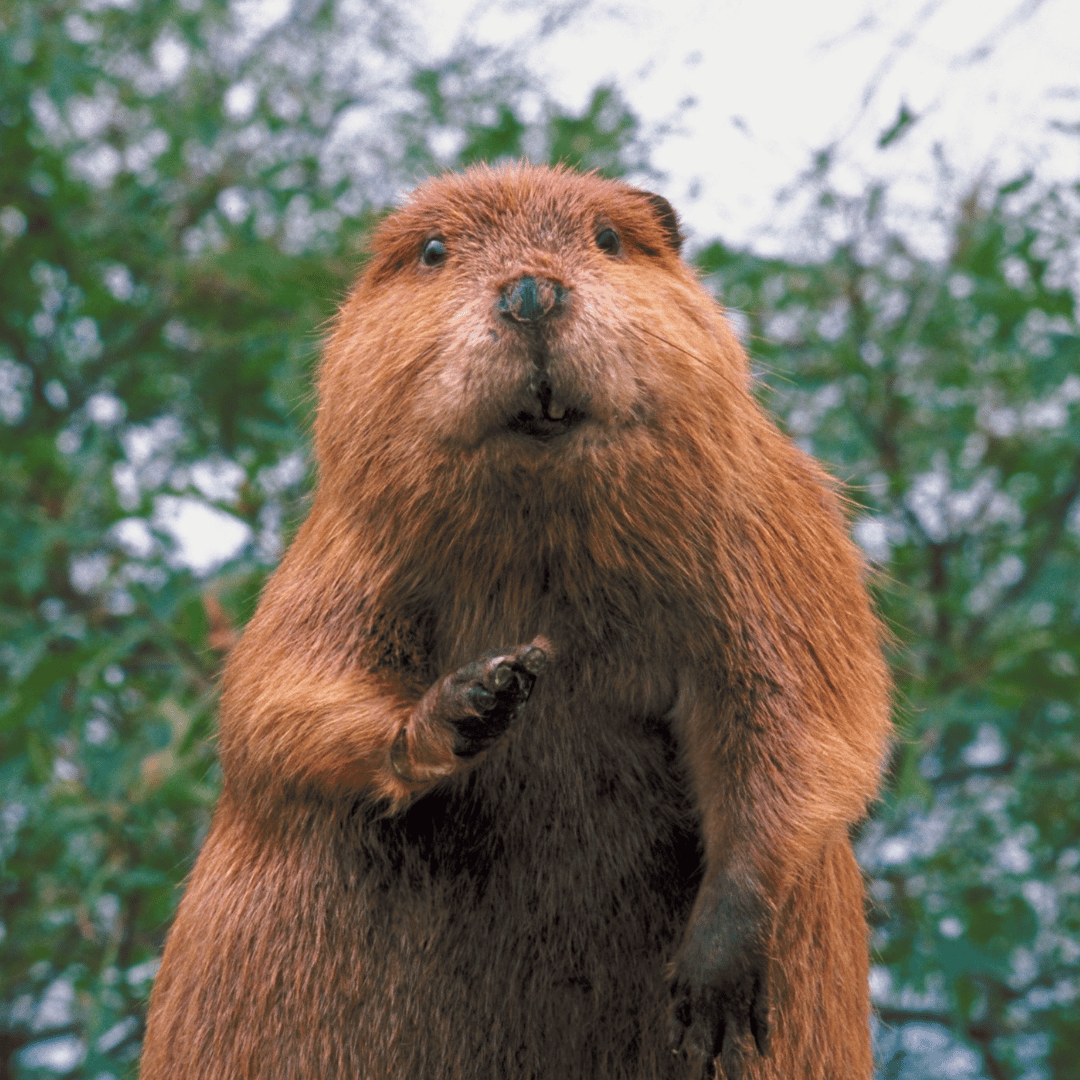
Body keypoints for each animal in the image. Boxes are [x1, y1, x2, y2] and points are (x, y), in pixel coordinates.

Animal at [141, 162, 885, 1080]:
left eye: (609, 238)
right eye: (433, 250)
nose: (532, 294)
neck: (544, 540)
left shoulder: (771, 532)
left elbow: (807, 719)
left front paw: (712, 982)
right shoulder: (342, 552)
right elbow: (276, 703)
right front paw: (475, 701)